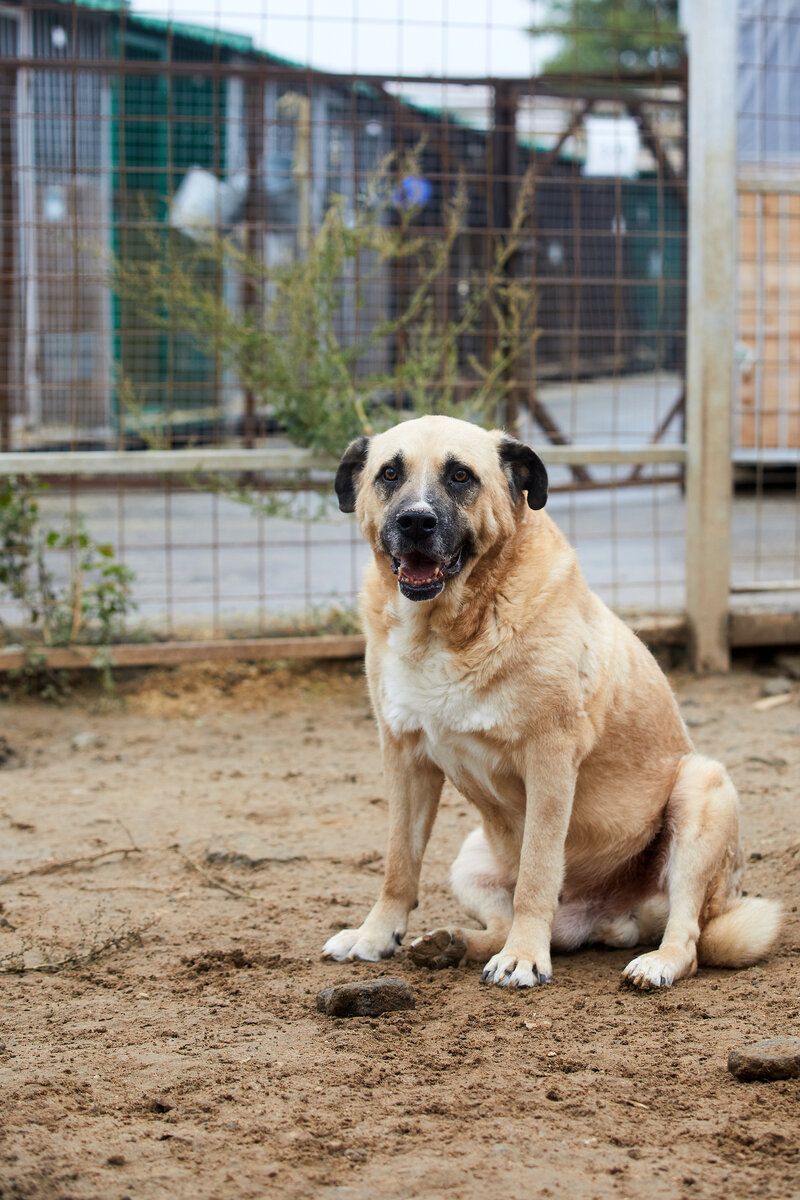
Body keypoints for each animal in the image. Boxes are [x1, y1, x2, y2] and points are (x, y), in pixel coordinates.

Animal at [321, 417, 782, 988]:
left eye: (460, 475)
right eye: (389, 473)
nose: (415, 522)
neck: (446, 629)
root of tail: (611, 919)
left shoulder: (549, 761)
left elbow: (538, 872)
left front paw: (523, 958)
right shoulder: (405, 758)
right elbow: (398, 865)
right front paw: (374, 936)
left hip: (702, 789)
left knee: (689, 933)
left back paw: (652, 962)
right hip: (470, 859)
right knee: (509, 922)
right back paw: (451, 944)